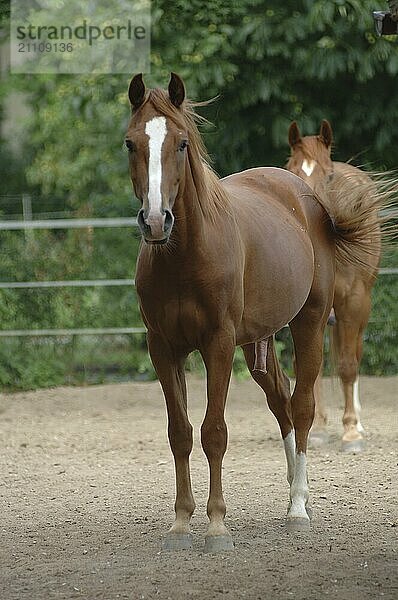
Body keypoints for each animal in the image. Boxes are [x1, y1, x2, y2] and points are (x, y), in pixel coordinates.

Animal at [286, 120, 382, 450]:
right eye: (291, 169)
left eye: (328, 176)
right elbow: (309, 367)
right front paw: (315, 429)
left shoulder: (354, 301)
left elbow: (347, 365)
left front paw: (351, 431)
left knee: (355, 353)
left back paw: (358, 421)